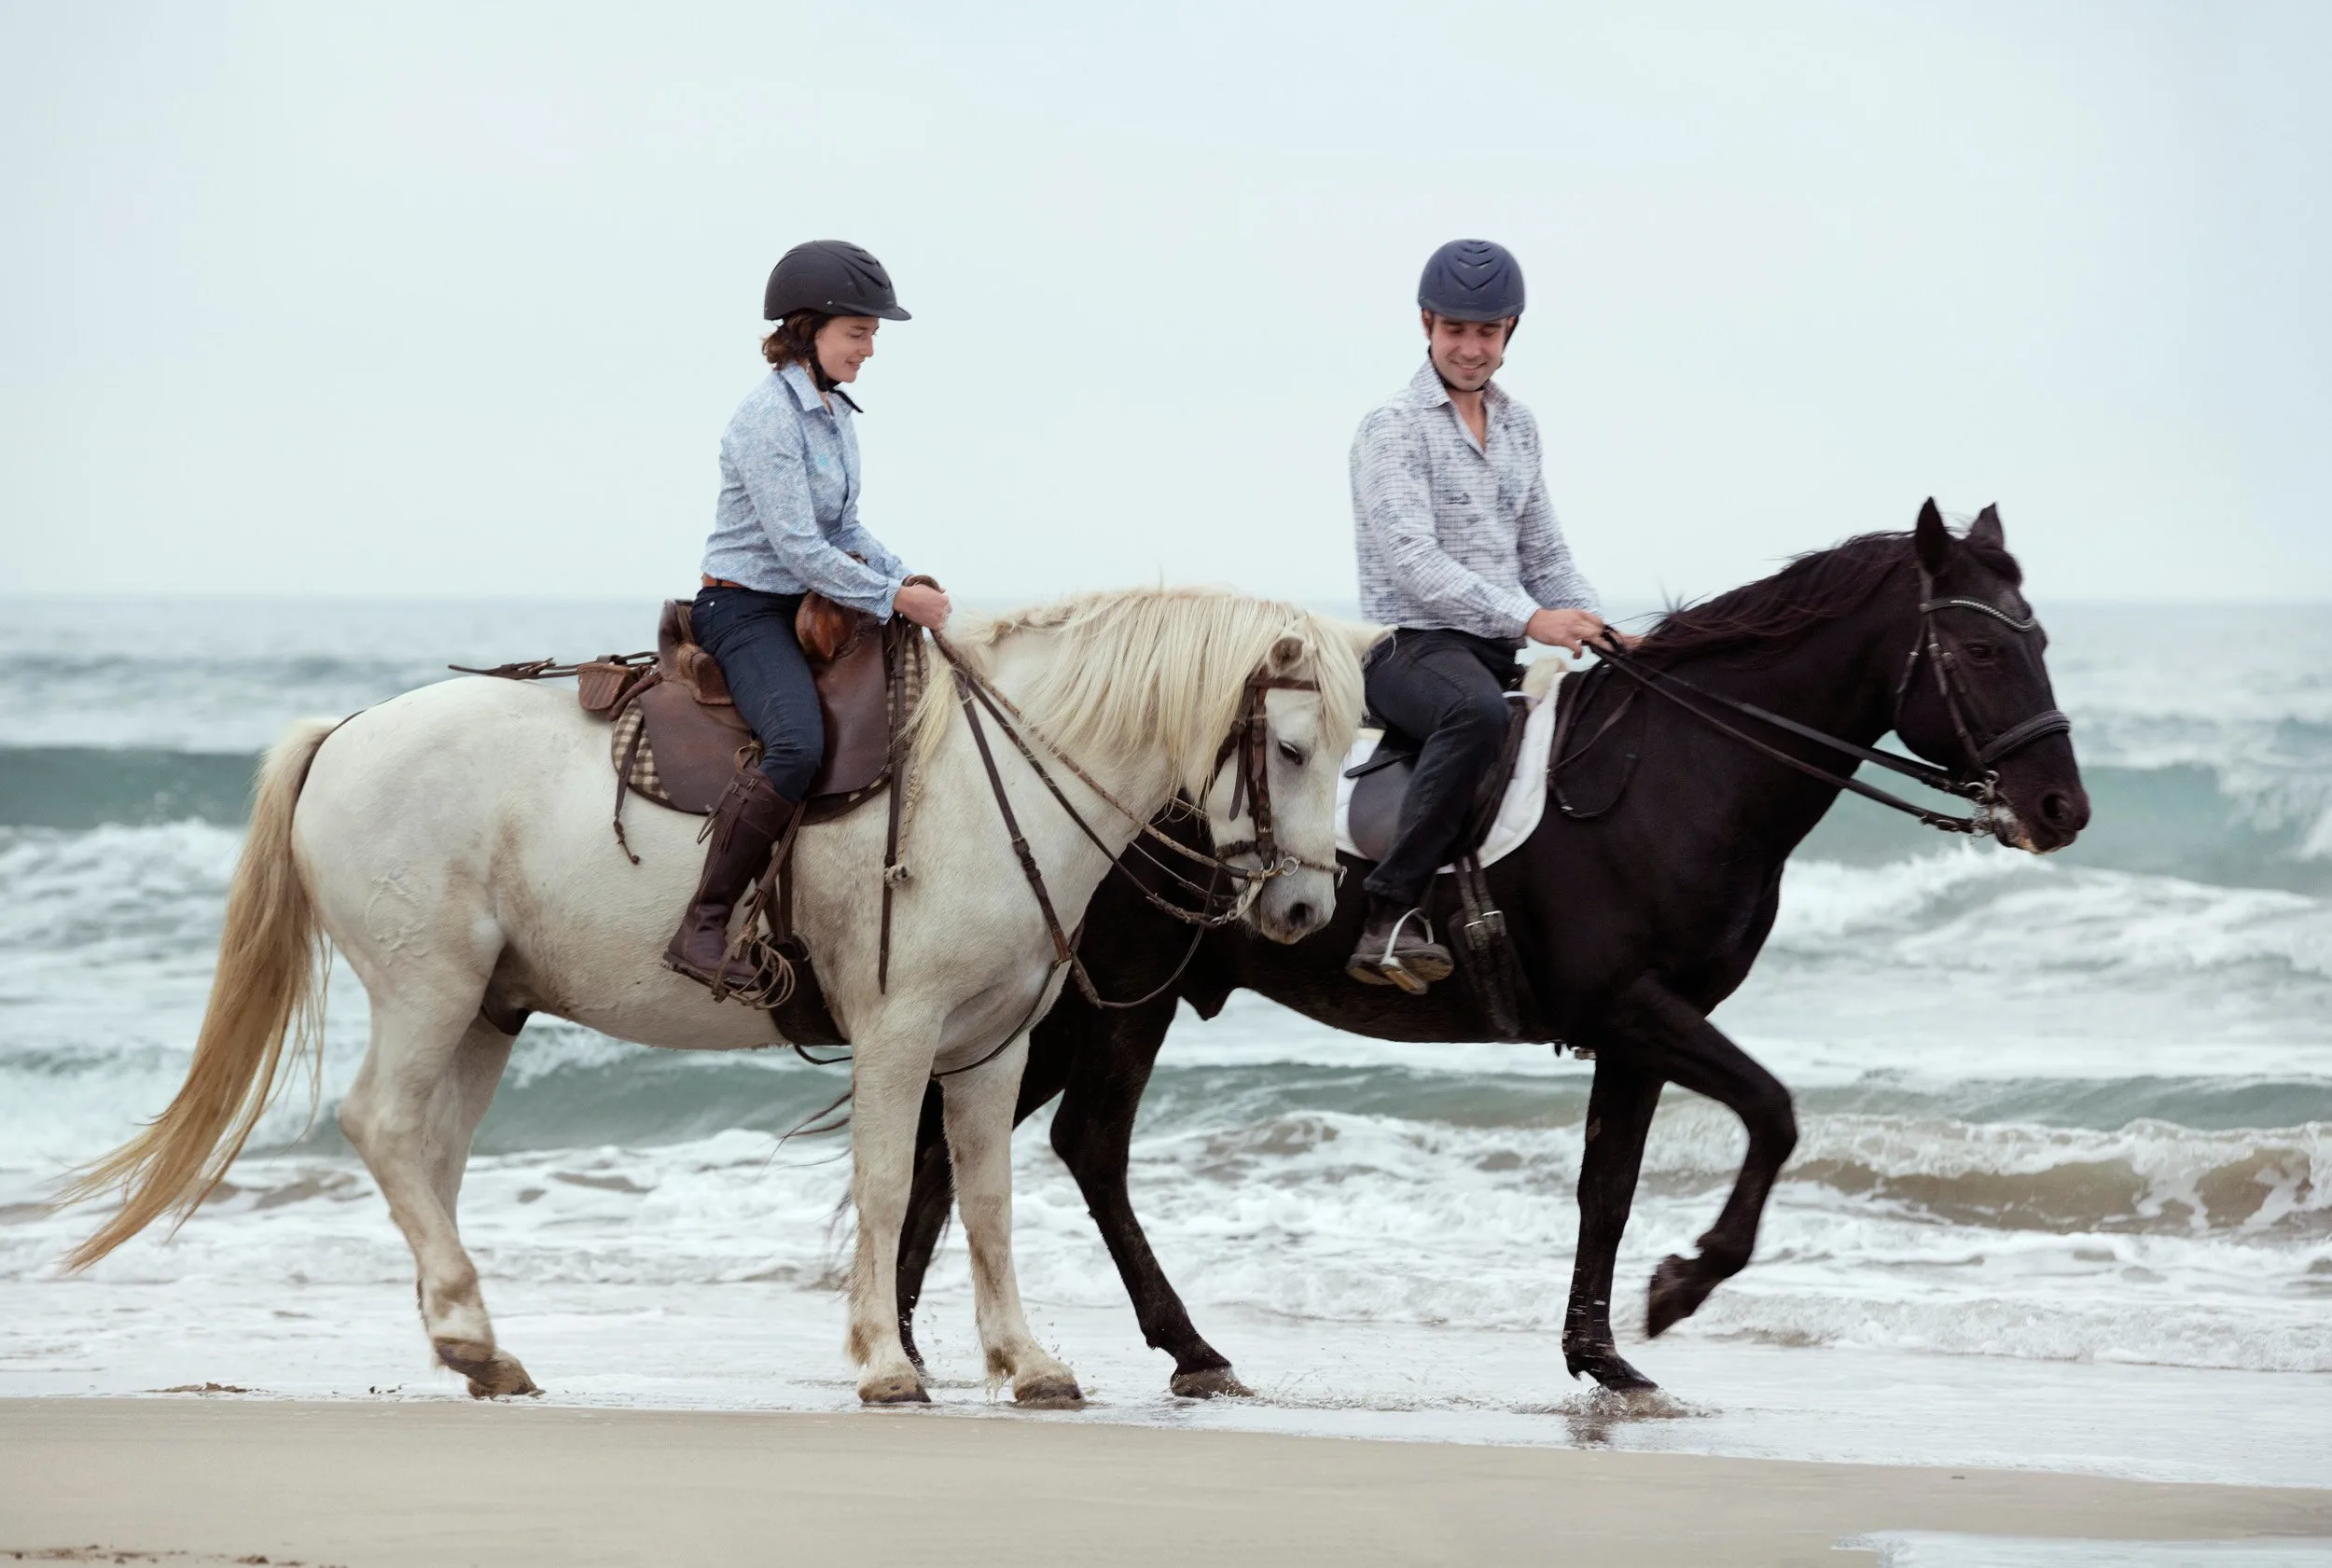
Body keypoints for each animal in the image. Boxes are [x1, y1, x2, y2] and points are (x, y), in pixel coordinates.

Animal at [63, 588, 1371, 1408]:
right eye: (1291, 748)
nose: (1307, 910)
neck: (988, 775)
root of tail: (342, 734)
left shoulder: (989, 1046)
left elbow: (989, 1198)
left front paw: (1028, 1362)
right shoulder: (898, 1033)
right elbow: (888, 1184)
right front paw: (885, 1364)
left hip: (488, 1008)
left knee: (429, 1150)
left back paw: (473, 1344)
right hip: (430, 986)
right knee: (382, 1124)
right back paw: (472, 1332)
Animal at [886, 506, 2080, 1399]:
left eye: (2039, 641)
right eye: (1981, 647)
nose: (2060, 808)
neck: (1678, 773)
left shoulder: (1636, 1033)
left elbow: (1608, 1185)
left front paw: (1603, 1354)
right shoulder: (1633, 1005)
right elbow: (1774, 1112)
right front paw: (1681, 1287)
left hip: (1072, 996)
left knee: (961, 1141)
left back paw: (908, 1339)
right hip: (1125, 991)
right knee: (1080, 1144)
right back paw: (1180, 1348)